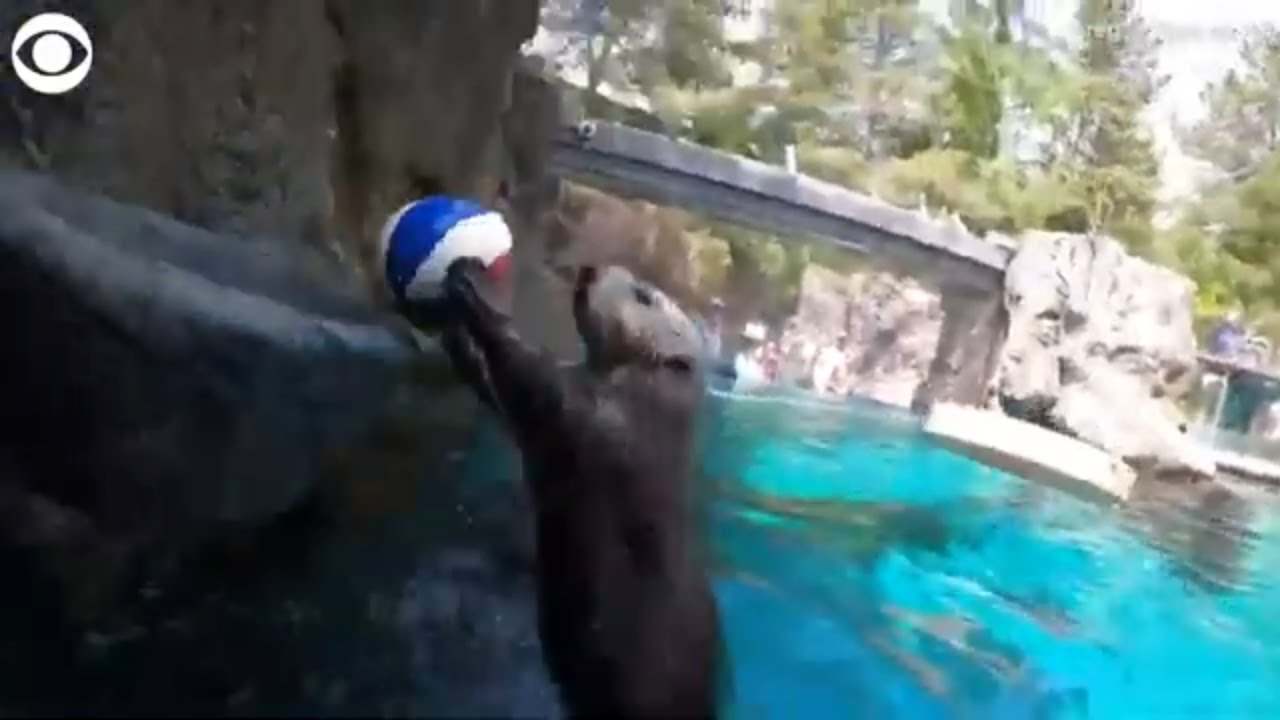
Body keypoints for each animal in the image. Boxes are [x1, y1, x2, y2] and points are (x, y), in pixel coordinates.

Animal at [438, 258, 724, 719]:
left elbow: (533, 379)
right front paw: (459, 344)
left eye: (644, 295)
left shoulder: (596, 423)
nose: (590, 269)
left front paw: (472, 294)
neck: (645, 417)